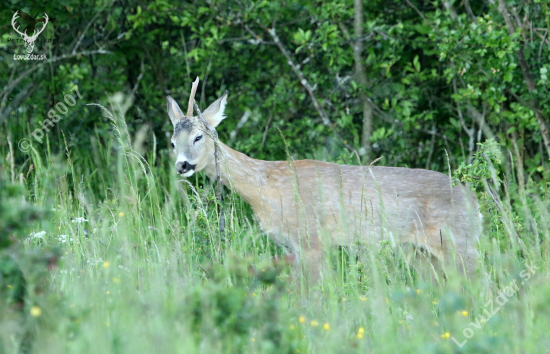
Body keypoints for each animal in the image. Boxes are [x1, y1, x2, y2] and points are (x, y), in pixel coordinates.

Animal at [168, 77, 484, 284]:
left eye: (198, 136)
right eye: (172, 142)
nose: (182, 165)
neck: (265, 188)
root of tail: (475, 202)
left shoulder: (312, 240)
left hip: (459, 242)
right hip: (422, 253)